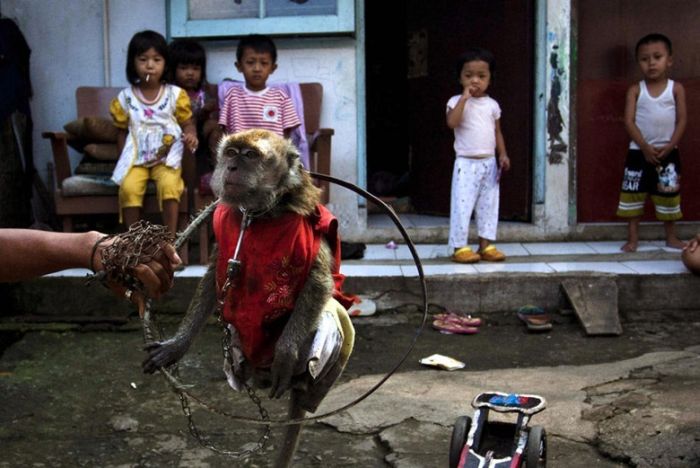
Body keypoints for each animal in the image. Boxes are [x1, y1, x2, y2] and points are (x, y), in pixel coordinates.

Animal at [145, 129, 358, 468]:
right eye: (232, 153)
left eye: (250, 156)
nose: (232, 167)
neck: (261, 214)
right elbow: (212, 279)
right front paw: (176, 346)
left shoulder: (311, 230)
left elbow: (319, 283)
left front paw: (285, 353)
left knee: (326, 314)